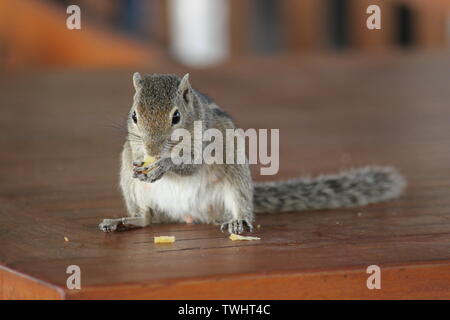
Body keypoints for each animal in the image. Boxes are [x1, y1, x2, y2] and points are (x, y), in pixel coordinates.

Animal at [99, 74, 408, 235]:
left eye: (176, 116)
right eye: (134, 115)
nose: (152, 150)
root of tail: (189, 215)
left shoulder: (206, 140)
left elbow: (191, 164)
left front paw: (163, 164)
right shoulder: (132, 146)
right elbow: (136, 152)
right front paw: (144, 161)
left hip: (235, 178)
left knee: (239, 204)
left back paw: (238, 220)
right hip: (133, 191)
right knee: (148, 217)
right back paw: (123, 220)